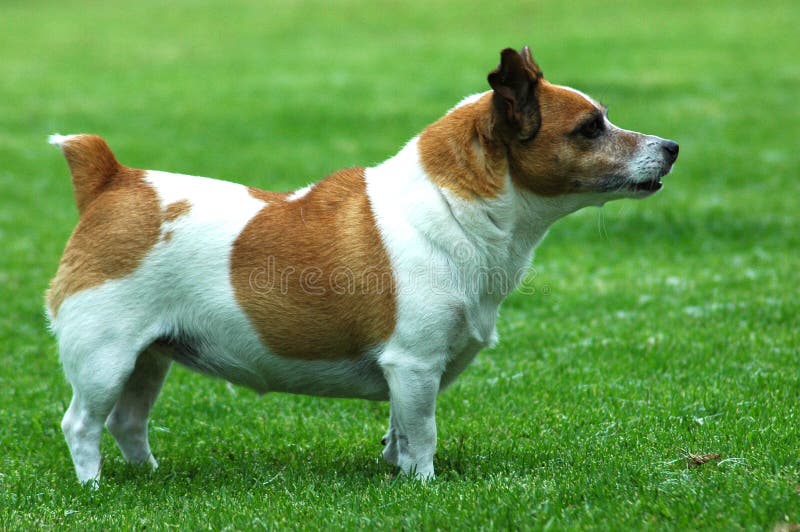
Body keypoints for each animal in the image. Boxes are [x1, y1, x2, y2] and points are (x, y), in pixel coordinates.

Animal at [47, 46, 680, 486]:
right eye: (590, 128)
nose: (673, 147)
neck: (451, 208)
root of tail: (111, 180)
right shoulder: (415, 364)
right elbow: (422, 432)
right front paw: (424, 485)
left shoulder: (410, 374)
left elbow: (399, 431)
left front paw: (396, 475)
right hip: (105, 359)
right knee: (82, 424)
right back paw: (94, 489)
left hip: (148, 360)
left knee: (126, 423)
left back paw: (147, 477)